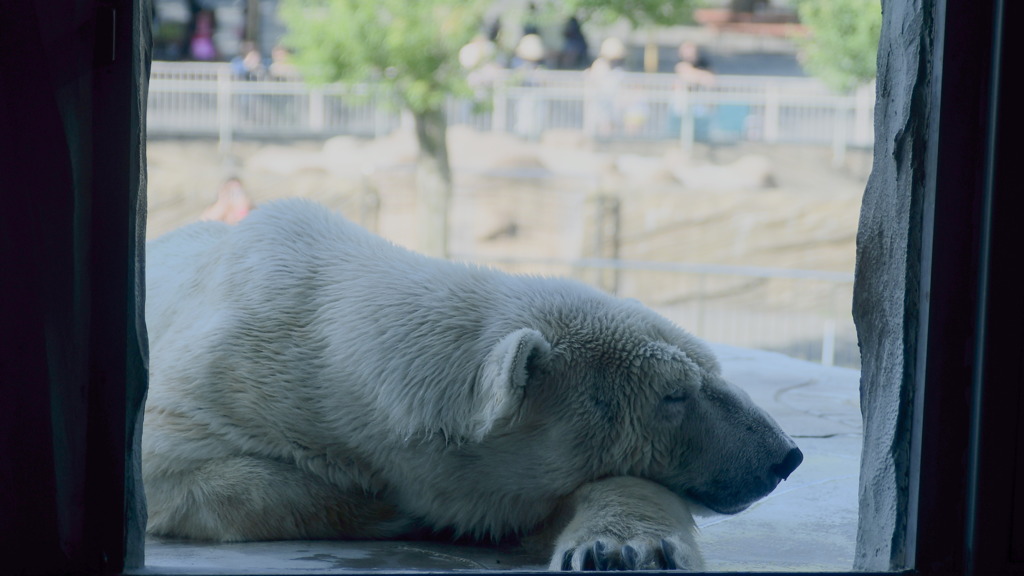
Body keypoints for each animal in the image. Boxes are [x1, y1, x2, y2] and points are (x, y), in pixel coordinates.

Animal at [142, 199, 798, 565]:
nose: (784, 456)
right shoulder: (211, 380)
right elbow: (172, 469)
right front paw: (388, 508)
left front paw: (619, 548)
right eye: (674, 394)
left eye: (714, 371)